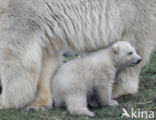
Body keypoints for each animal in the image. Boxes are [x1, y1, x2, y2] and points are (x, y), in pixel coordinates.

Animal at [0, 0, 155, 109]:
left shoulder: (20, 15)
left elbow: (18, 60)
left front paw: (5, 102)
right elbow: (48, 58)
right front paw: (38, 104)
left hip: (134, 12)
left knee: (134, 41)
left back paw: (116, 89)